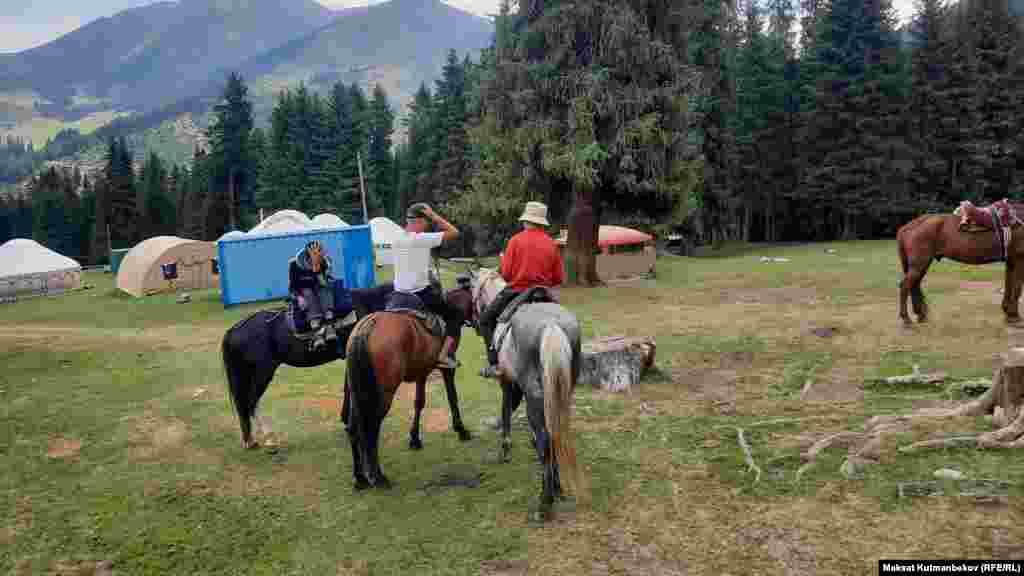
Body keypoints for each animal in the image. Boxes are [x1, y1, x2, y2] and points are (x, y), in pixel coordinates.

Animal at [222, 280, 473, 450]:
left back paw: (250, 440)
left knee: (244, 405)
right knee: (251, 402)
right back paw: (268, 438)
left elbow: (347, 388)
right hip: (262, 372)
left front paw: (346, 419)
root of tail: (234, 330)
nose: (454, 327)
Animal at [466, 266, 585, 520]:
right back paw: (557, 488)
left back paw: (545, 502)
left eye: (472, 291)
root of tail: (551, 325)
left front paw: (505, 450)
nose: (474, 321)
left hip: (534, 394)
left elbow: (506, 412)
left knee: (545, 439)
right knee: (553, 434)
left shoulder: (507, 382)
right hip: (558, 392)